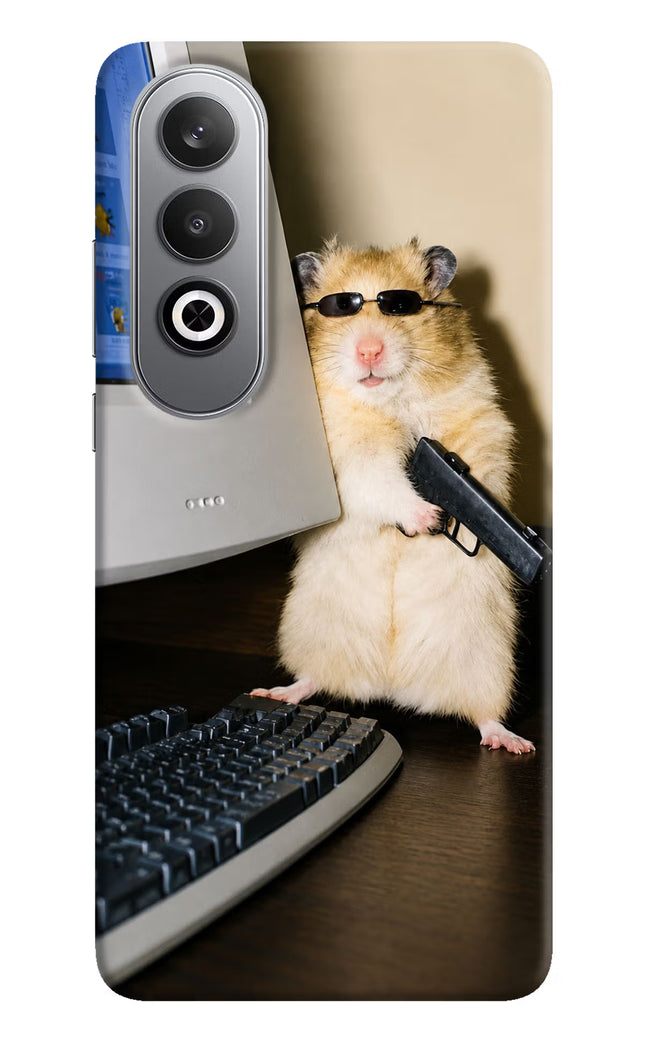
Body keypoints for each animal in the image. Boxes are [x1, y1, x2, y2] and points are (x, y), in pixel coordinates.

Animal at [252, 238, 534, 754]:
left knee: (484, 714)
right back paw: (276, 692)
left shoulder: (481, 424)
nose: (369, 350)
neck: (389, 401)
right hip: (311, 632)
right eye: (340, 307)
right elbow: (380, 481)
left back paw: (512, 742)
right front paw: (428, 518)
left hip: (487, 660)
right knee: (313, 678)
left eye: (400, 306)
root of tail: (392, 686)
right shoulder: (348, 458)